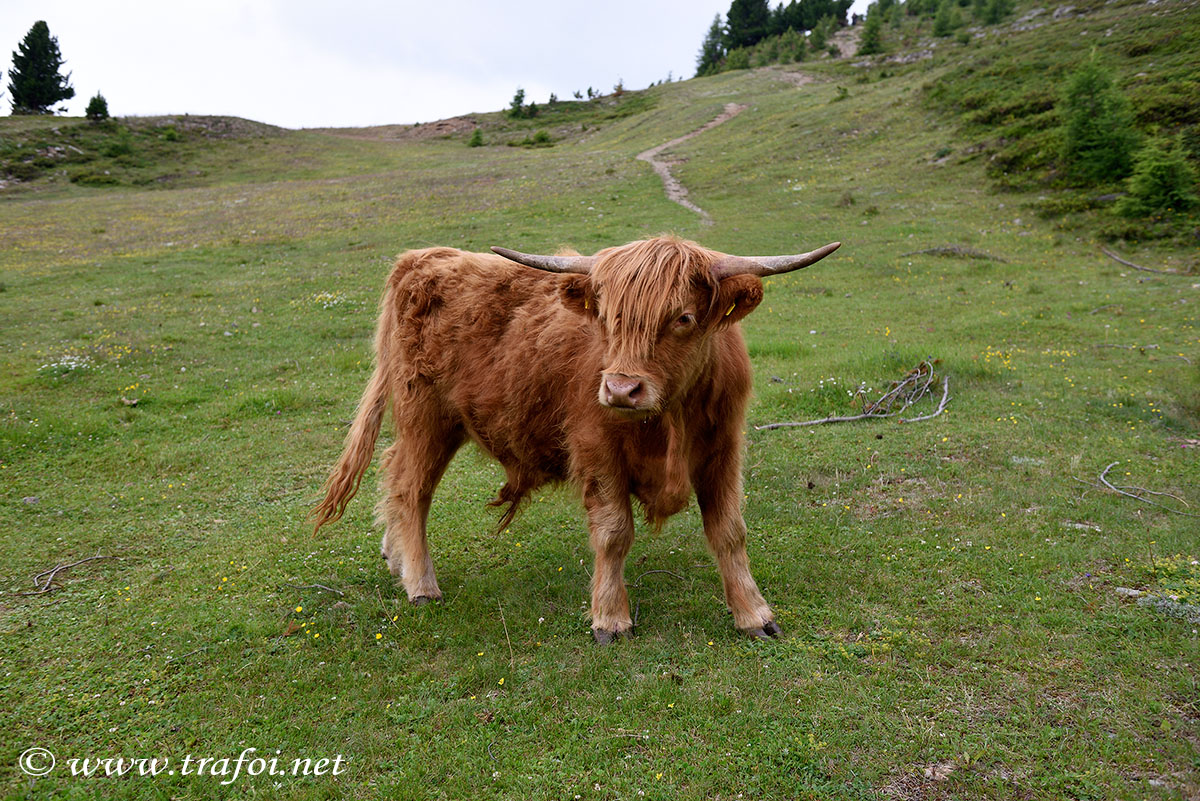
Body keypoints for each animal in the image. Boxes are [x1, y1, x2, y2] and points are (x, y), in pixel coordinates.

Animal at [314, 235, 849, 642]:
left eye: (683, 317)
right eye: (608, 318)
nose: (620, 389)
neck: (671, 418)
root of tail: (423, 257)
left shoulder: (724, 451)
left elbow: (729, 532)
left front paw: (754, 614)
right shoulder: (597, 451)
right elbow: (614, 534)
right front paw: (611, 619)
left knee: (393, 472)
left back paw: (395, 557)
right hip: (426, 415)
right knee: (411, 487)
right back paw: (421, 584)